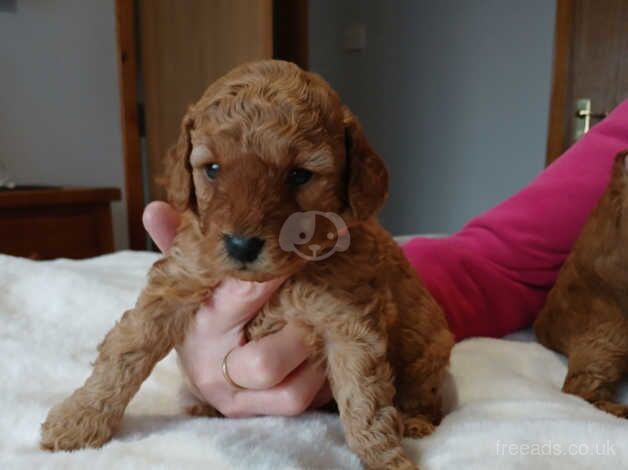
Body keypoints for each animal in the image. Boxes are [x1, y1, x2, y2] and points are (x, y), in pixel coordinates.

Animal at [40, 60, 452, 468]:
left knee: (425, 396)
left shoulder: (348, 320)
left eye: (299, 174)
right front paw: (79, 417)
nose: (241, 245)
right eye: (212, 169)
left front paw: (384, 458)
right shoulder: (180, 277)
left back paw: (415, 421)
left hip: (427, 348)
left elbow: (363, 396)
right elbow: (128, 346)